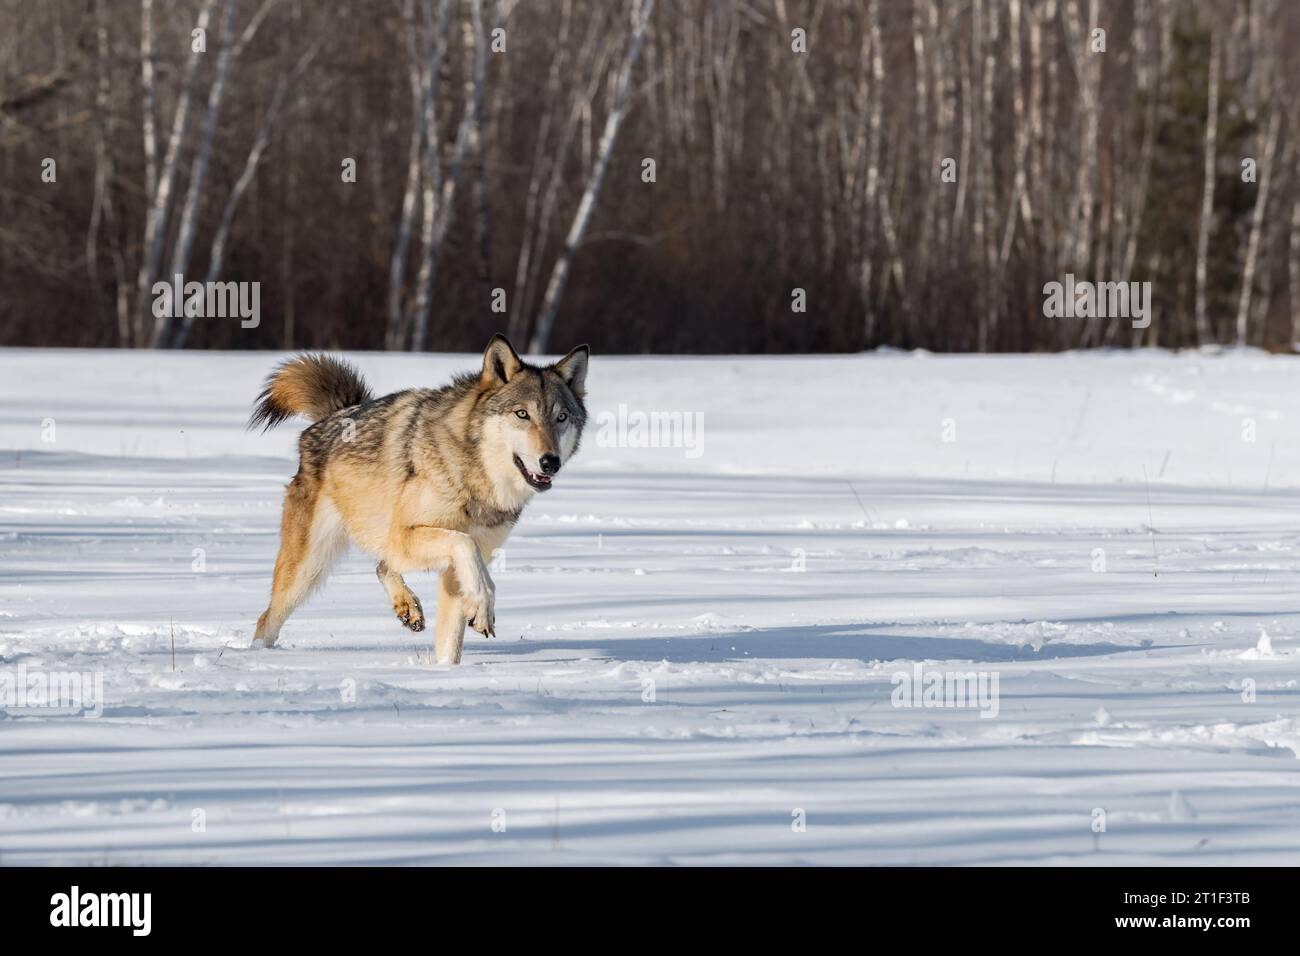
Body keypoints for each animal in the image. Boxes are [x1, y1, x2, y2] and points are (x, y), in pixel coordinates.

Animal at [248, 334, 588, 663]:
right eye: (522, 414)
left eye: (561, 417)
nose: (550, 462)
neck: (474, 475)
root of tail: (334, 415)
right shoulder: (412, 537)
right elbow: (466, 547)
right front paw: (483, 605)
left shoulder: (455, 565)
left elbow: (450, 642)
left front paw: (444, 672)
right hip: (308, 569)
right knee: (266, 620)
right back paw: (256, 658)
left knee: (382, 566)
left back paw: (408, 608)